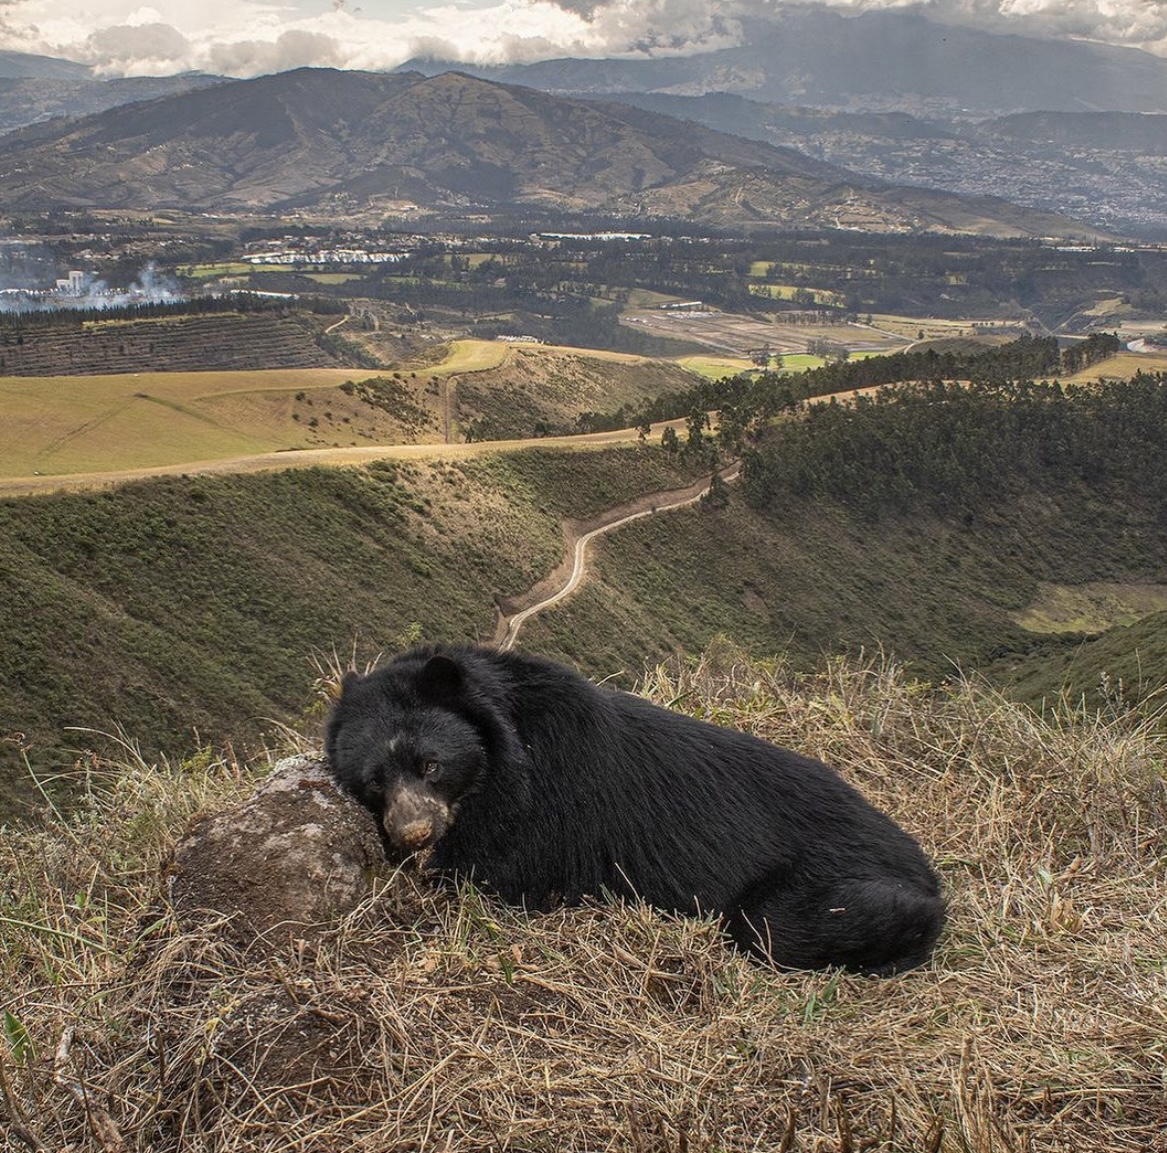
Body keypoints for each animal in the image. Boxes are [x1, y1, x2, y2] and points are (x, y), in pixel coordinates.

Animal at [325, 644, 945, 975]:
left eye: (431, 765)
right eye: (374, 782)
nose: (413, 834)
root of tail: (922, 867)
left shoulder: (545, 813)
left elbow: (498, 874)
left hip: (825, 881)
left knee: (777, 927)